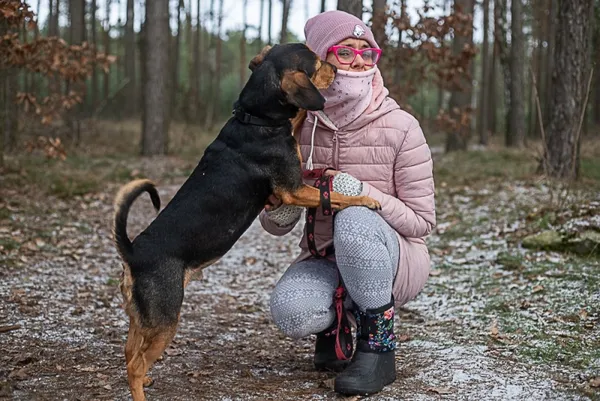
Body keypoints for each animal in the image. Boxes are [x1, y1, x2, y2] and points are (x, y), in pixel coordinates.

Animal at [112, 43, 380, 400]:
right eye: (316, 63)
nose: (337, 70)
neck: (255, 119)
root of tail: (132, 252)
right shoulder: (294, 190)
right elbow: (338, 196)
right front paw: (366, 199)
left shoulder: (295, 185)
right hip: (165, 318)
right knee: (134, 364)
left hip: (142, 317)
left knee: (129, 353)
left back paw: (147, 381)